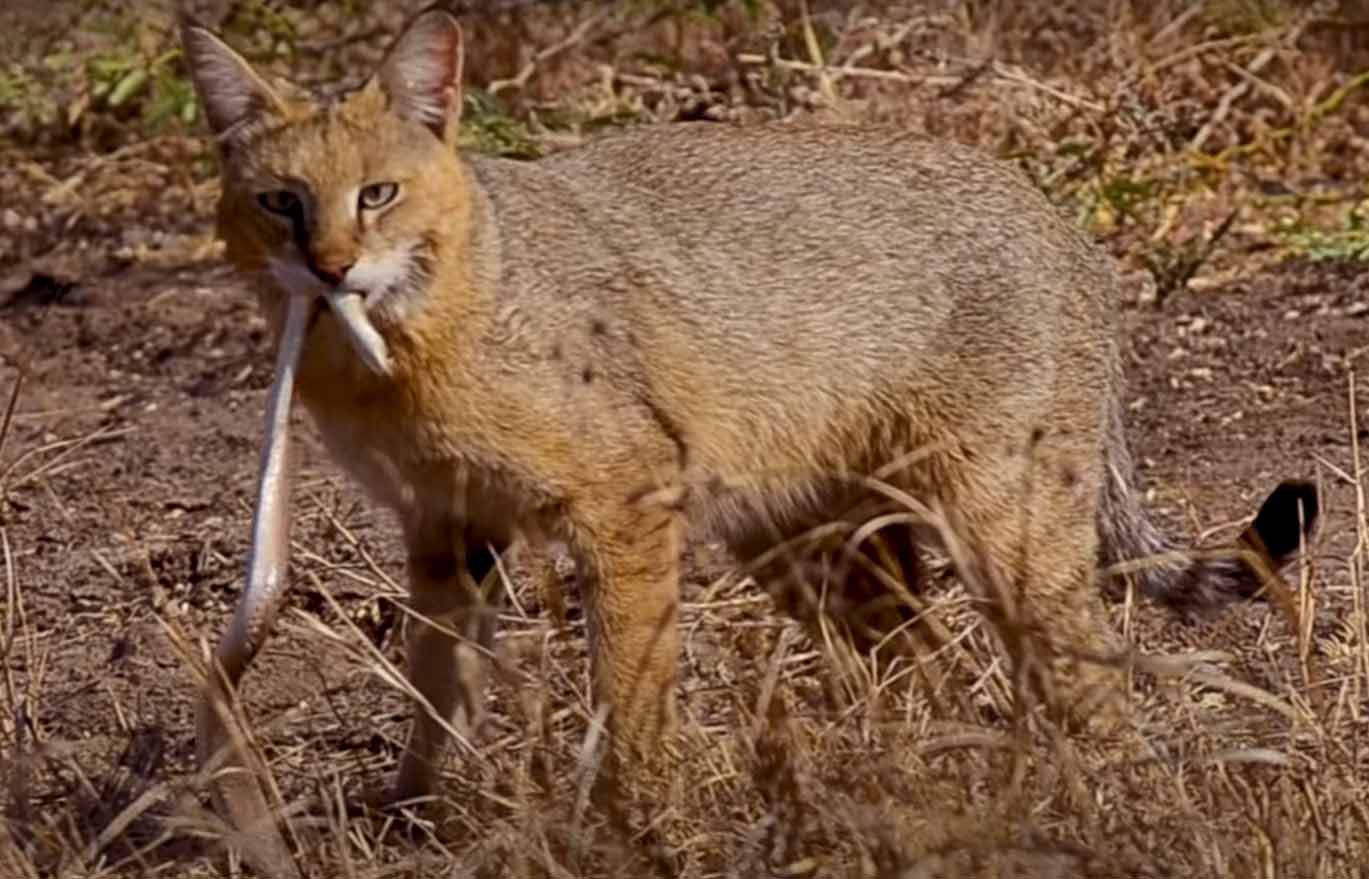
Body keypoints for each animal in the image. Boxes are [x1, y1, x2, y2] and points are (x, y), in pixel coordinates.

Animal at [179, 8, 1314, 876]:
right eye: (278, 204)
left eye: (377, 195)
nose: (328, 268)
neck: (426, 331)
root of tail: (1064, 223)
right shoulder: (446, 528)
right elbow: (434, 687)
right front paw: (411, 819)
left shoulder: (624, 507)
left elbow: (630, 694)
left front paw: (634, 827)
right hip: (814, 549)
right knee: (932, 672)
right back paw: (916, 793)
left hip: (1005, 537)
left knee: (1092, 680)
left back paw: (1120, 813)